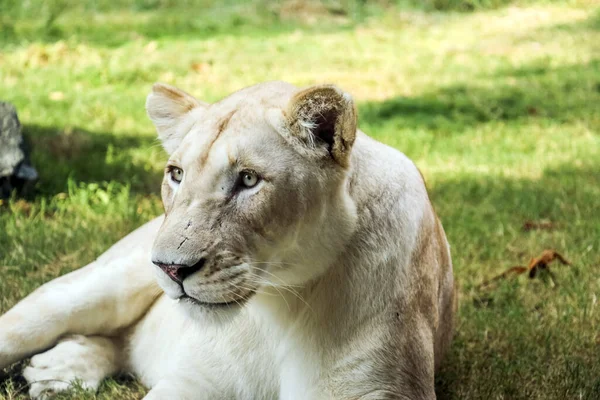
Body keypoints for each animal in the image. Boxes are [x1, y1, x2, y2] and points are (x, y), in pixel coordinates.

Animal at [0, 81, 454, 400]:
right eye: (176, 174)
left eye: (248, 179)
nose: (170, 268)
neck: (279, 305)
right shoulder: (192, 382)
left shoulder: (377, 386)